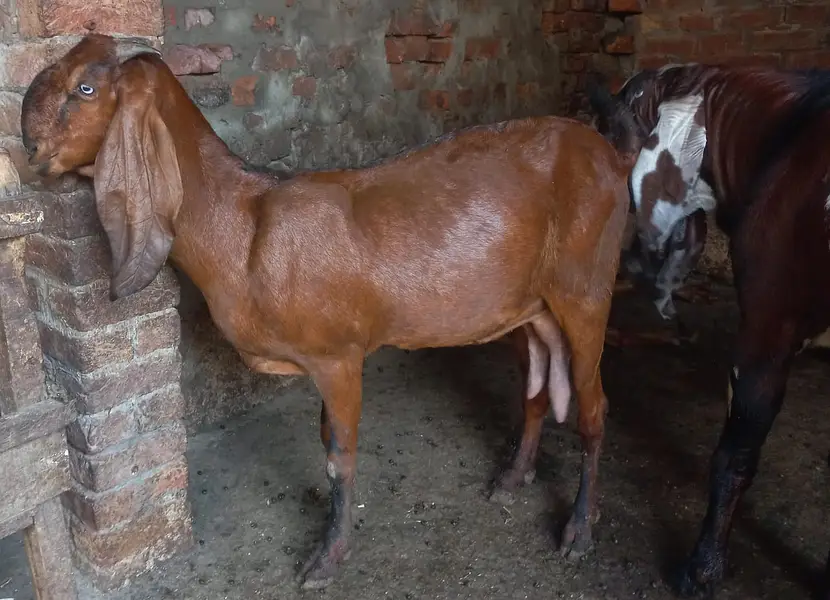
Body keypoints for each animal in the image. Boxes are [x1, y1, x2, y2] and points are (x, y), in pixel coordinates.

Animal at [22, 34, 631, 590]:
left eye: (85, 87)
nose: (27, 145)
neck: (244, 226)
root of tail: (612, 156)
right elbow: (322, 443)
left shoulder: (339, 355)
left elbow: (340, 455)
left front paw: (327, 557)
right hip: (531, 311)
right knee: (535, 390)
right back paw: (513, 476)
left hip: (587, 292)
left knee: (594, 408)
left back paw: (579, 528)